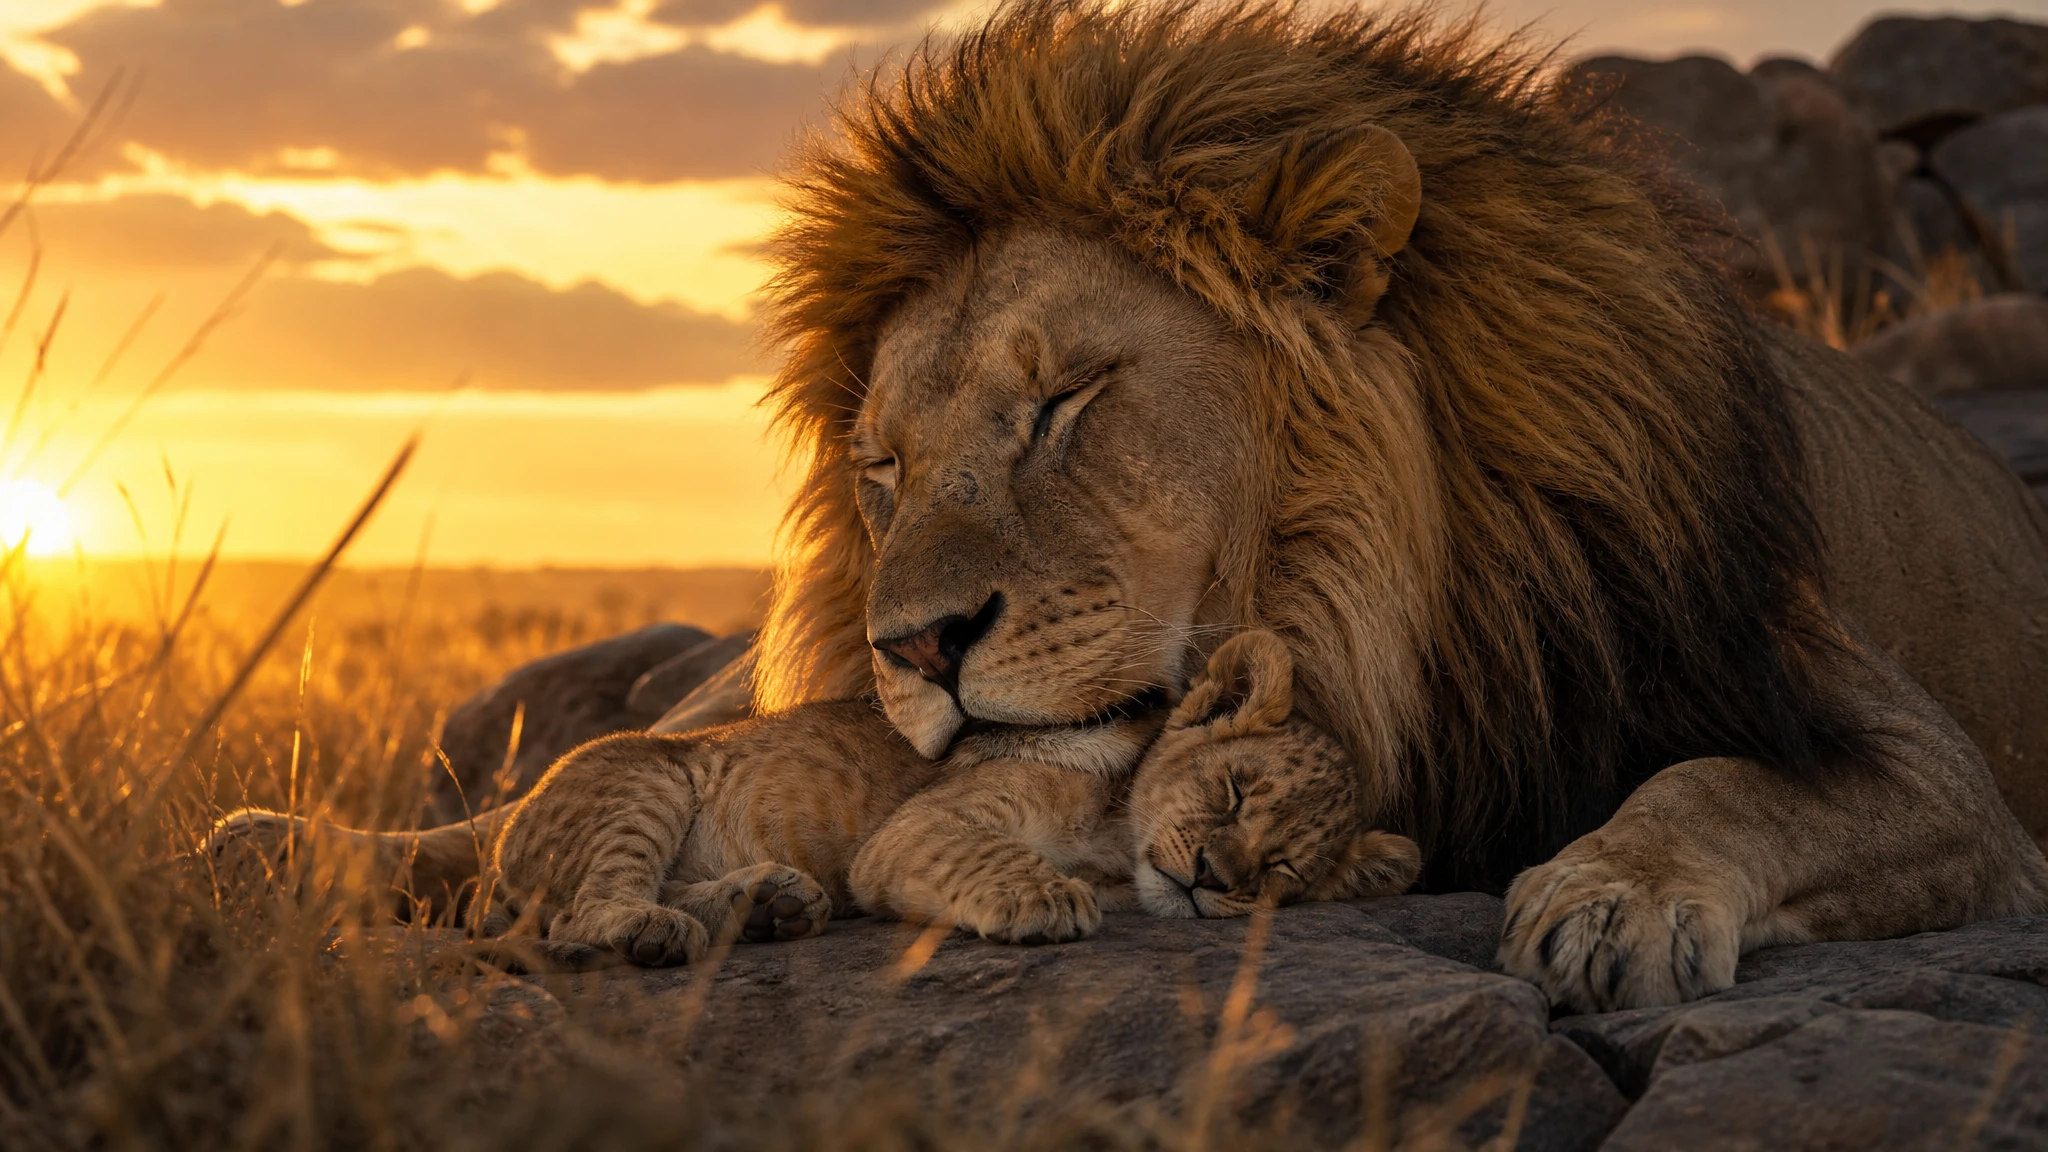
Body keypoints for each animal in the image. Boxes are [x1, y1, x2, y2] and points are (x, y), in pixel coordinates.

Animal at [213, 0, 2048, 1014]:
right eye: (880, 467)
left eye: (1067, 401)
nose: (915, 645)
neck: (1380, 609)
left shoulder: (1911, 755)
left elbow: (1723, 780)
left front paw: (1611, 897)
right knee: (594, 802)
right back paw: (293, 847)